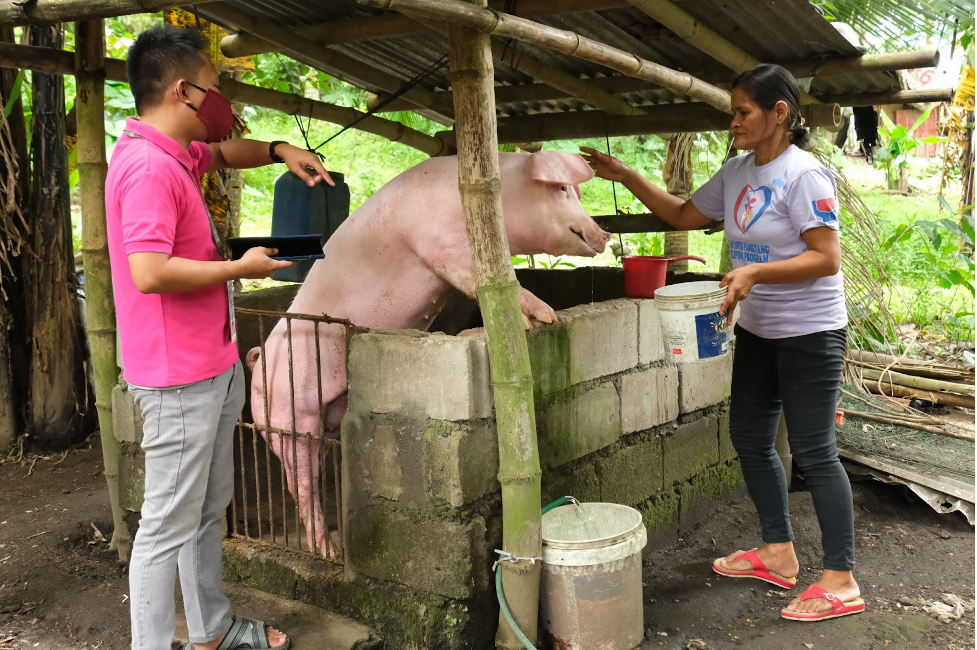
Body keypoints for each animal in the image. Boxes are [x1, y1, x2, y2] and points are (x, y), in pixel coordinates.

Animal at [248, 149, 608, 556]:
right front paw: (543, 317)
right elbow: (485, 281)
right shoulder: (444, 249)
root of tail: (257, 360)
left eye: (577, 192)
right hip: (288, 415)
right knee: (301, 481)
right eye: (562, 189)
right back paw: (329, 551)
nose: (606, 233)